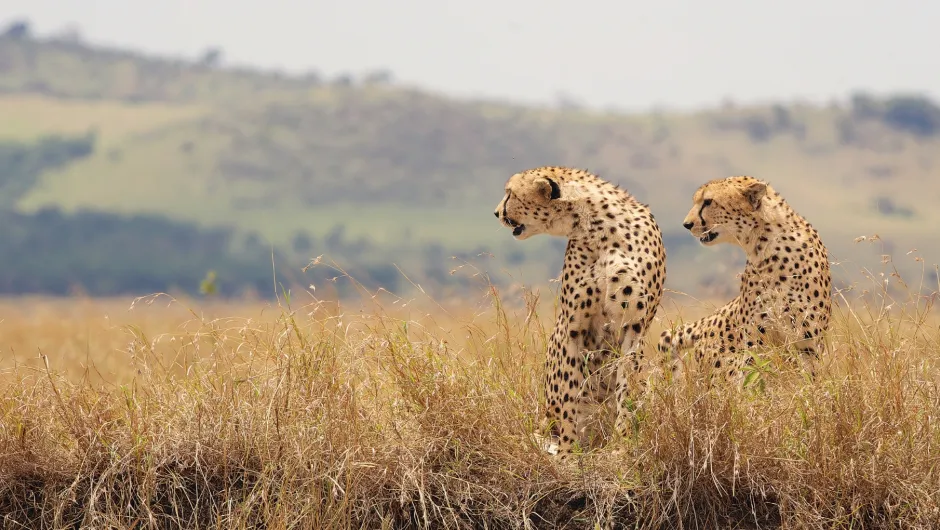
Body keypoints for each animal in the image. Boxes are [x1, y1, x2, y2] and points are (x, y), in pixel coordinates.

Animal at [492, 166, 668, 454]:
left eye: (510, 194)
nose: (496, 212)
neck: (596, 226)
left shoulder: (635, 326)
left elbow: (627, 389)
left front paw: (621, 445)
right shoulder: (572, 326)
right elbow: (568, 393)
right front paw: (567, 452)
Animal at [656, 175, 832, 382]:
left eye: (708, 202)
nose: (687, 224)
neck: (766, 242)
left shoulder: (808, 338)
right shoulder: (756, 338)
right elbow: (754, 377)